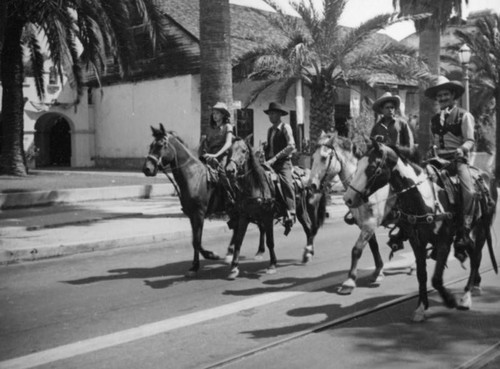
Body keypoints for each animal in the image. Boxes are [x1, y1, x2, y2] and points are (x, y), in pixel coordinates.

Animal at [224, 137, 326, 278]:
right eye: (229, 150)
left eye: (244, 151)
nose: (230, 170)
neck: (255, 186)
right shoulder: (244, 216)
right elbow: (238, 241)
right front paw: (234, 267)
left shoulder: (267, 217)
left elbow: (270, 241)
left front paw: (272, 265)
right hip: (301, 211)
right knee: (308, 229)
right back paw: (307, 254)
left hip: (310, 209)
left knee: (311, 229)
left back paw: (308, 253)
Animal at [308, 131, 402, 294]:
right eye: (312, 157)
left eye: (324, 158)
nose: (311, 185)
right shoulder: (364, 224)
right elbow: (373, 247)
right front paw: (378, 271)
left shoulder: (370, 224)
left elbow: (356, 250)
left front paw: (350, 281)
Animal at [342, 139, 498, 320]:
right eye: (358, 164)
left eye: (373, 167)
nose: (348, 198)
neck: (424, 197)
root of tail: (486, 176)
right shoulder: (416, 242)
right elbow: (422, 275)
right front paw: (421, 307)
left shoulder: (444, 241)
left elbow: (436, 279)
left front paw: (450, 300)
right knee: (473, 252)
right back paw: (473, 286)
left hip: (481, 227)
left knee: (477, 256)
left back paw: (466, 297)